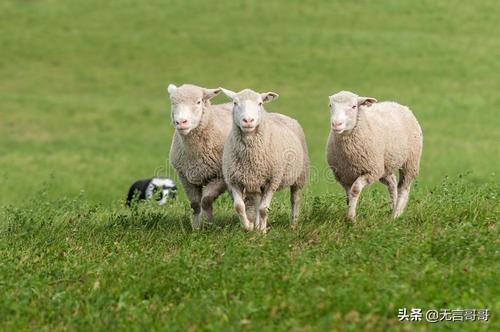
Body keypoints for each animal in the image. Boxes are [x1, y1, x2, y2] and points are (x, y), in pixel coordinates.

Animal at [166, 83, 232, 228]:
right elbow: (195, 204)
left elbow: (206, 200)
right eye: (173, 103)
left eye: (198, 102)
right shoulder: (184, 177)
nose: (181, 122)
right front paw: (196, 226)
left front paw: (207, 223)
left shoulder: (219, 177)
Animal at [222, 88, 308, 233]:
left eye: (260, 103)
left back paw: (293, 224)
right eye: (235, 103)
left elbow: (263, 209)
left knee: (295, 199)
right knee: (257, 201)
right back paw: (256, 225)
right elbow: (239, 207)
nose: (248, 120)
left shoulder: (272, 181)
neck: (250, 156)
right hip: (256, 181)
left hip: (300, 175)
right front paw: (249, 227)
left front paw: (262, 232)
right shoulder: (233, 180)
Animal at [326, 91, 424, 220]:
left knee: (404, 188)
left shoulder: (371, 171)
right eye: (330, 105)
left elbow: (355, 190)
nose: (336, 124)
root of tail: (399, 104)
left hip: (410, 161)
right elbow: (348, 195)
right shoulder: (342, 175)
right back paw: (392, 208)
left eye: (354, 106)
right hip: (384, 166)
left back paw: (396, 214)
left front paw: (351, 218)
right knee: (392, 183)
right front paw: (349, 213)